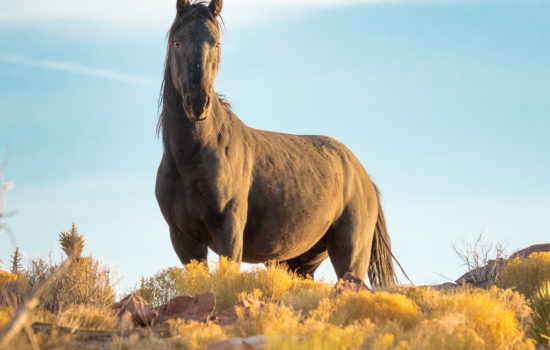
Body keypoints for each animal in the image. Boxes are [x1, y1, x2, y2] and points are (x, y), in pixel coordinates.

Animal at [155, 0, 396, 286]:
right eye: (177, 42)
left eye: (216, 43)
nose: (197, 102)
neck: (190, 160)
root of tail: (364, 178)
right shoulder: (183, 240)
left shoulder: (229, 233)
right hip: (301, 262)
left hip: (350, 252)